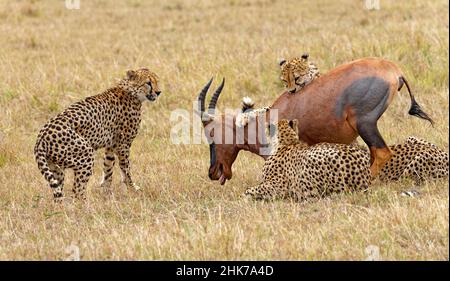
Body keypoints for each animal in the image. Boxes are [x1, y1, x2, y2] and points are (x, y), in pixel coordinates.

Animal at [35, 67, 162, 199]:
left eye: (156, 81)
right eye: (148, 83)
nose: (158, 92)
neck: (130, 92)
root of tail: (41, 138)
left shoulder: (111, 146)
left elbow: (108, 168)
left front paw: (107, 192)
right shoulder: (123, 145)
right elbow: (126, 169)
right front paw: (132, 189)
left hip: (55, 167)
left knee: (58, 191)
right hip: (86, 154)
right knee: (77, 189)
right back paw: (86, 203)